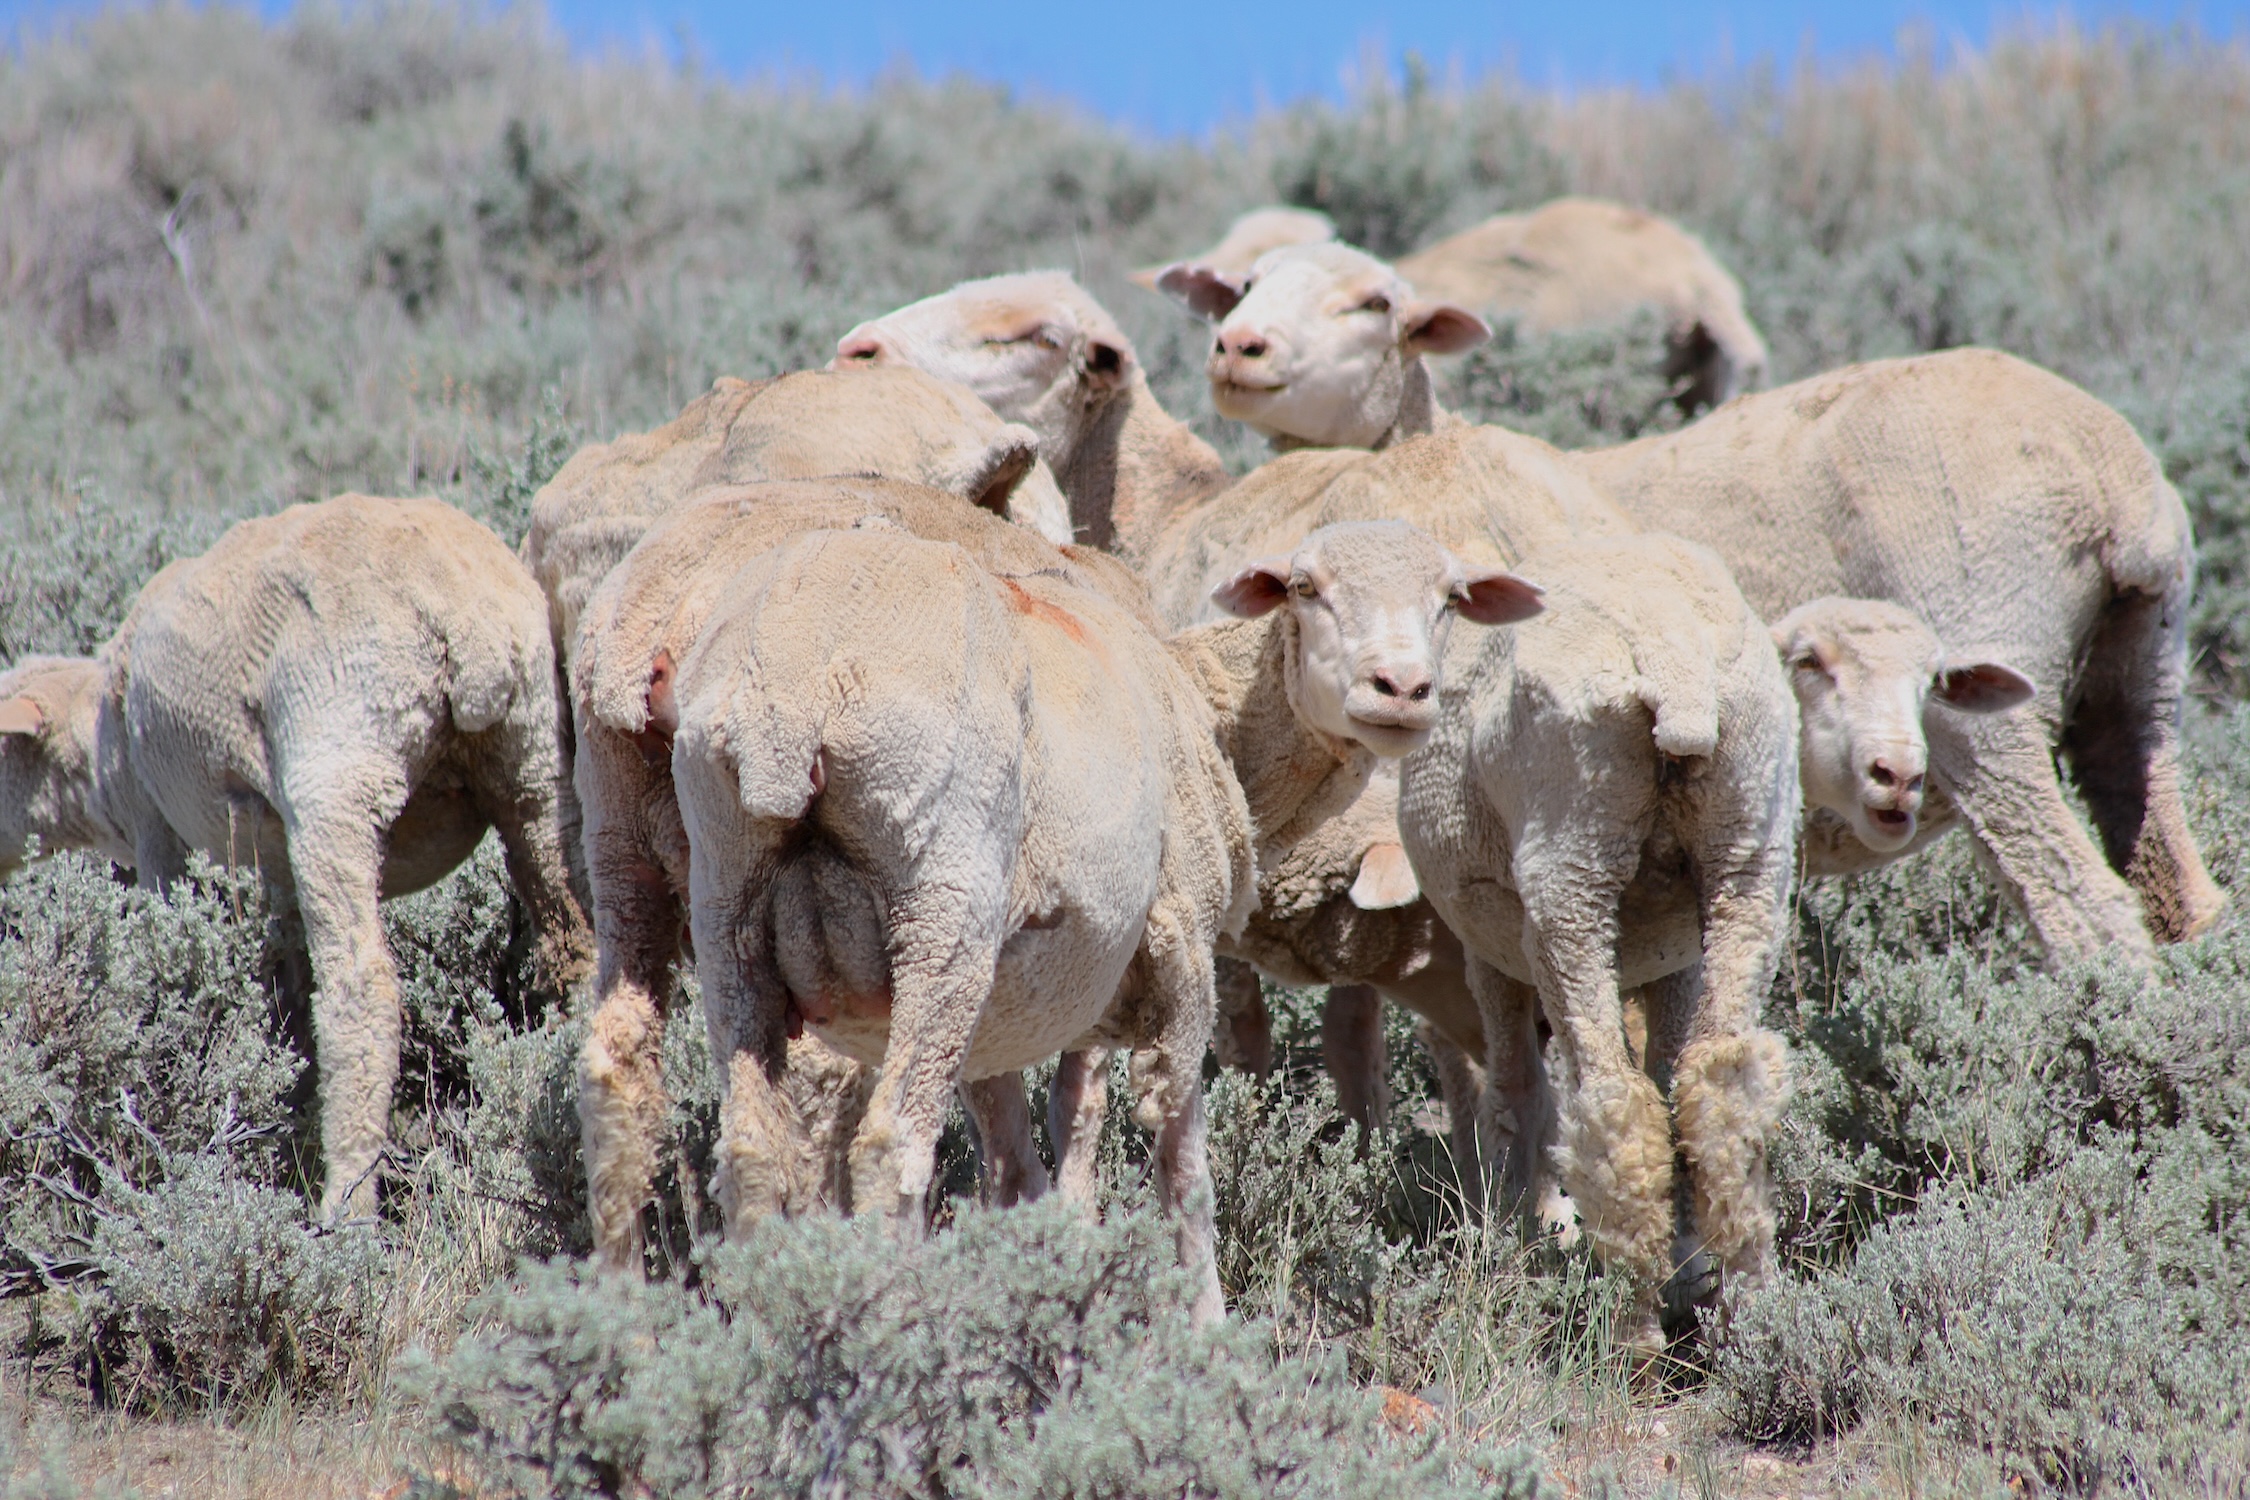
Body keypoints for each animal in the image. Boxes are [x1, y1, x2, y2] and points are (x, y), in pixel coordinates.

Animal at [0, 494, 593, 1220]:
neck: (96, 758)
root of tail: (468, 620)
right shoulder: (274, 872)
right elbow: (285, 987)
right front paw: (284, 1101)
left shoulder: (159, 835)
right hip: (535, 764)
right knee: (577, 946)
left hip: (336, 773)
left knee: (361, 991)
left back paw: (347, 1209)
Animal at [570, 476, 1160, 1269]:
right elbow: (1076, 1090)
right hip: (912, 914)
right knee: (855, 1120)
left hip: (639, 856)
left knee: (627, 1070)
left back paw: (629, 1286)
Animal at [666, 516, 1539, 1322]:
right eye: (1305, 588)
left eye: (1450, 600)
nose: (1401, 689)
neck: (1210, 711)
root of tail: (791, 685)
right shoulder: (1176, 944)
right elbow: (1177, 1155)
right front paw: (1204, 1324)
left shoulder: (1027, 1006)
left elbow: (1024, 1151)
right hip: (943, 914)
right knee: (890, 1150)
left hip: (729, 918)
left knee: (752, 1152)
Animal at [1164, 242, 2220, 958]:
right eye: (1245, 284)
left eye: (1374, 303)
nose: (1238, 346)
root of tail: (2117, 475)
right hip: (2144, 673)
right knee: (2174, 877)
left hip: (1988, 689)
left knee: (2085, 907)